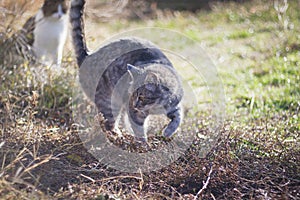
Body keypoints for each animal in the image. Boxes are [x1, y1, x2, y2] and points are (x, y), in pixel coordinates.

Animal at [71, 0, 183, 142]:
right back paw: (117, 137)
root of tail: (88, 56)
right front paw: (143, 143)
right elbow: (139, 130)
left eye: (141, 96)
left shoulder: (174, 106)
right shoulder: (135, 113)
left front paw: (168, 132)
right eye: (133, 95)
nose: (135, 104)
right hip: (109, 102)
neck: (157, 105)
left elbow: (178, 118)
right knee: (107, 124)